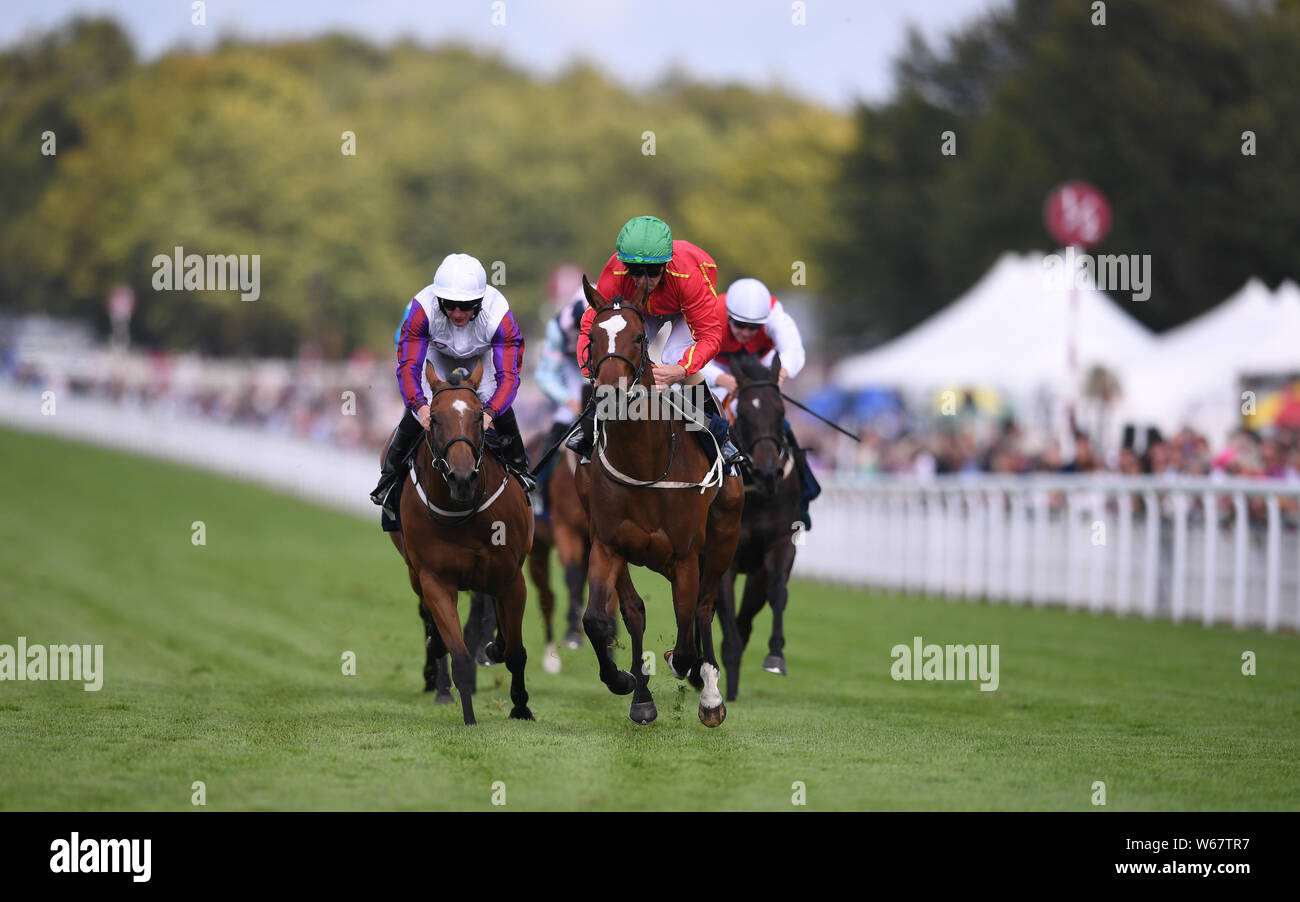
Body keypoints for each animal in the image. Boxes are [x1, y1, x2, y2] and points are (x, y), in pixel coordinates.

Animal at [384, 361, 533, 727]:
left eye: (480, 417)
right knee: (433, 630)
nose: (462, 478)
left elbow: (516, 652)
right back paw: (438, 683)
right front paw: (467, 716)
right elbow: (459, 655)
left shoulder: (511, 577)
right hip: (415, 573)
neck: (464, 511)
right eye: (435, 419)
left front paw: (521, 707)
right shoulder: (435, 580)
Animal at [577, 279, 748, 733]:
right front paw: (626, 683)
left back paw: (710, 694)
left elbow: (687, 638)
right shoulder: (607, 544)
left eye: (638, 338)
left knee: (703, 607)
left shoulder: (686, 555)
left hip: (724, 536)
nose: (610, 396)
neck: (646, 465)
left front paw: (688, 669)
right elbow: (601, 619)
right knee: (642, 612)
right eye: (592, 338)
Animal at [712, 350, 800, 701]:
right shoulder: (725, 559)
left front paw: (776, 655)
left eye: (781, 411)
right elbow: (727, 629)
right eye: (745, 413)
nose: (768, 473)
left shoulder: (779, 546)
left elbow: (778, 594)